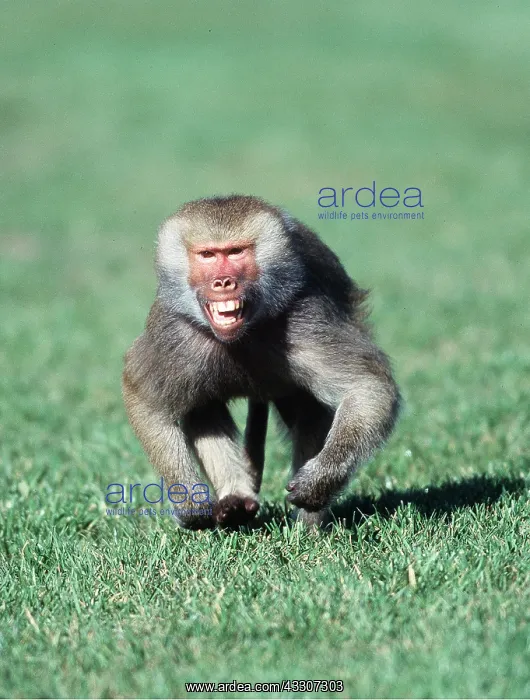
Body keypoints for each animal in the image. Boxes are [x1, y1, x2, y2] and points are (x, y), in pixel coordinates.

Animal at [122, 195, 400, 530]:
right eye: (207, 255)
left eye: (235, 252)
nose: (223, 282)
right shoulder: (175, 336)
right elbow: (146, 401)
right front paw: (190, 502)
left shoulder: (306, 322)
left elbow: (368, 388)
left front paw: (317, 485)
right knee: (201, 408)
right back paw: (236, 502)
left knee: (309, 413)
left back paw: (306, 530)